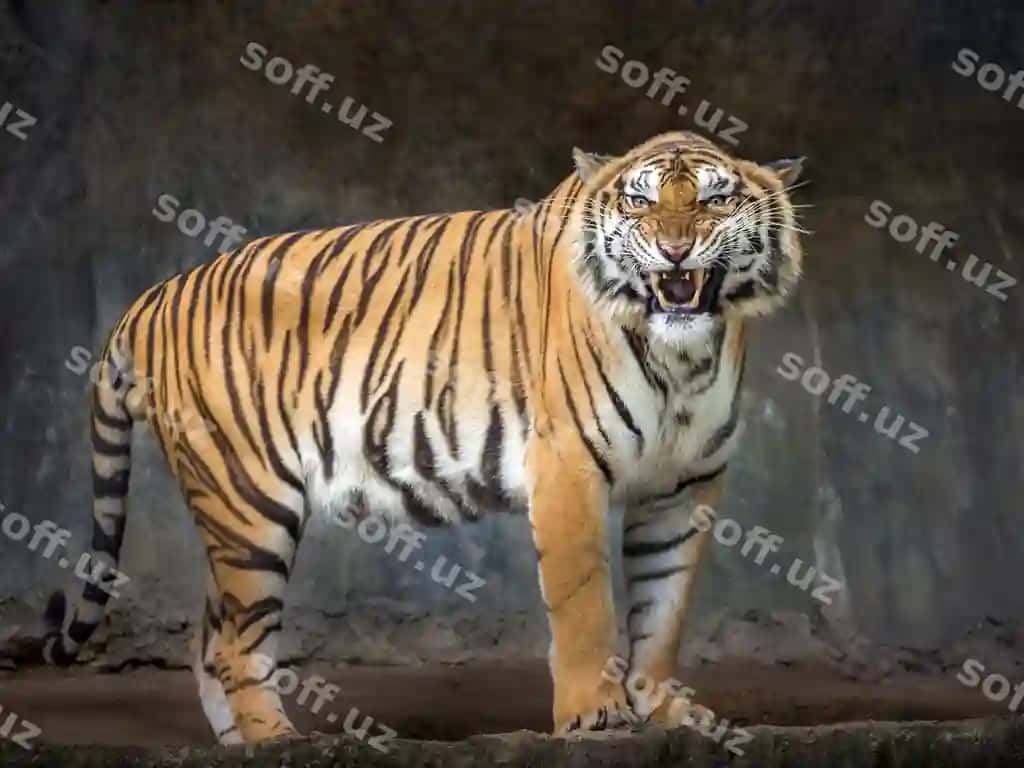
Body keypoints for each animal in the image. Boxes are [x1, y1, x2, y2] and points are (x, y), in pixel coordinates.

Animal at [33, 130, 804, 743]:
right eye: (640, 204)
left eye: (715, 201)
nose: (674, 249)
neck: (684, 358)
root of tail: (154, 295)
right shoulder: (568, 466)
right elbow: (586, 604)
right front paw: (594, 714)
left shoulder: (683, 486)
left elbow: (664, 609)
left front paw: (664, 713)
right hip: (248, 502)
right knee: (235, 645)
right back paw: (277, 742)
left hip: (233, 513)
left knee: (209, 638)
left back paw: (240, 744)